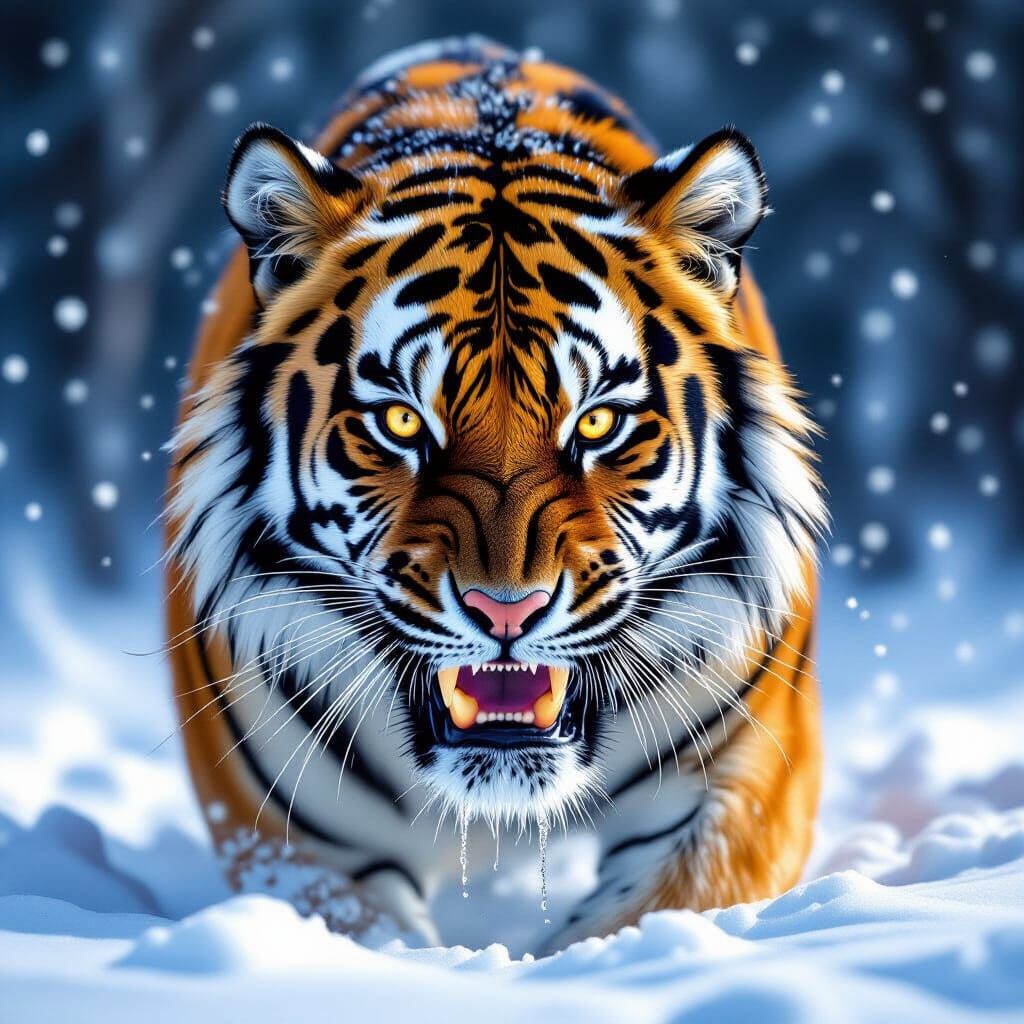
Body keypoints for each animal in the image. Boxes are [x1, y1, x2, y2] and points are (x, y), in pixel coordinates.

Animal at [165, 36, 826, 951]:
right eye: (402, 422)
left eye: (598, 422)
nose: (504, 611)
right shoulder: (291, 835)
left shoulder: (748, 776)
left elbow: (659, 909)